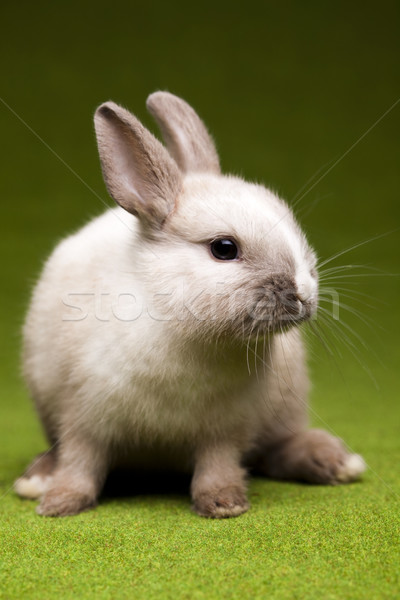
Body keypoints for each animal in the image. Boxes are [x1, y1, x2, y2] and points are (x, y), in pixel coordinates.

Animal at [14, 91, 366, 516]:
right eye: (224, 248)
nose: (303, 293)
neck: (182, 326)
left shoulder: (225, 427)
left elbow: (218, 465)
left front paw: (224, 504)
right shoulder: (83, 415)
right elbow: (80, 463)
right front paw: (59, 504)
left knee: (277, 449)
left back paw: (338, 462)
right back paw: (35, 479)